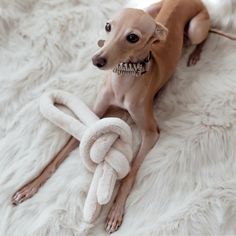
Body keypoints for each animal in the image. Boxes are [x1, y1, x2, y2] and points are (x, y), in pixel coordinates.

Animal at [11, 0, 236, 234]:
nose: (96, 60)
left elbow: (130, 173)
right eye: (108, 26)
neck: (124, 79)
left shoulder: (151, 133)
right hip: (152, 10)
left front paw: (115, 212)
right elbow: (58, 154)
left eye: (133, 37)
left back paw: (194, 54)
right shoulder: (93, 117)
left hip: (195, 28)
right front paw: (29, 187)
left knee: (204, 36)